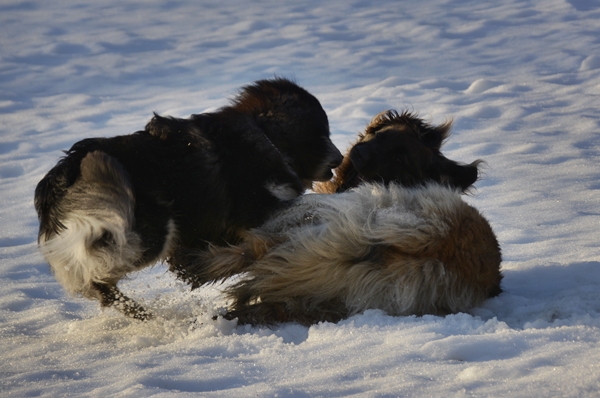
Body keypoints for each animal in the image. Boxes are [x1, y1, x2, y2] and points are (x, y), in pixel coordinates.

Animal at [34, 78, 342, 320]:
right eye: (323, 133)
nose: (339, 159)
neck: (265, 133)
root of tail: (61, 176)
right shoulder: (257, 212)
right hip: (149, 229)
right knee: (95, 278)